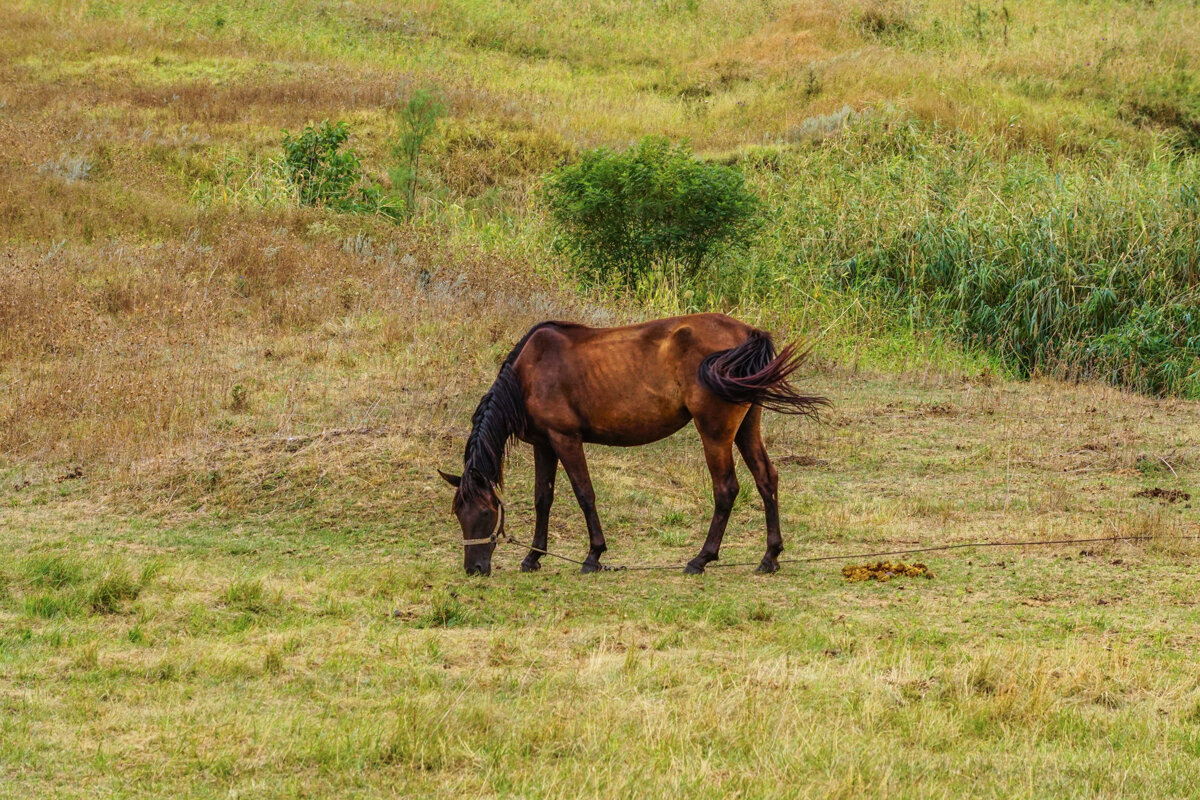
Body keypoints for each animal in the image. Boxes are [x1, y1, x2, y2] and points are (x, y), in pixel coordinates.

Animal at [439, 311, 825, 575]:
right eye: (458, 512)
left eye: (486, 512)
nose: (474, 569)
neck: (529, 374)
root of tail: (746, 333)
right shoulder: (544, 445)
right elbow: (542, 499)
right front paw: (533, 556)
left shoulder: (566, 440)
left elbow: (584, 494)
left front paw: (593, 555)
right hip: (746, 427)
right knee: (766, 479)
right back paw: (769, 557)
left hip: (715, 432)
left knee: (726, 488)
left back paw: (701, 558)